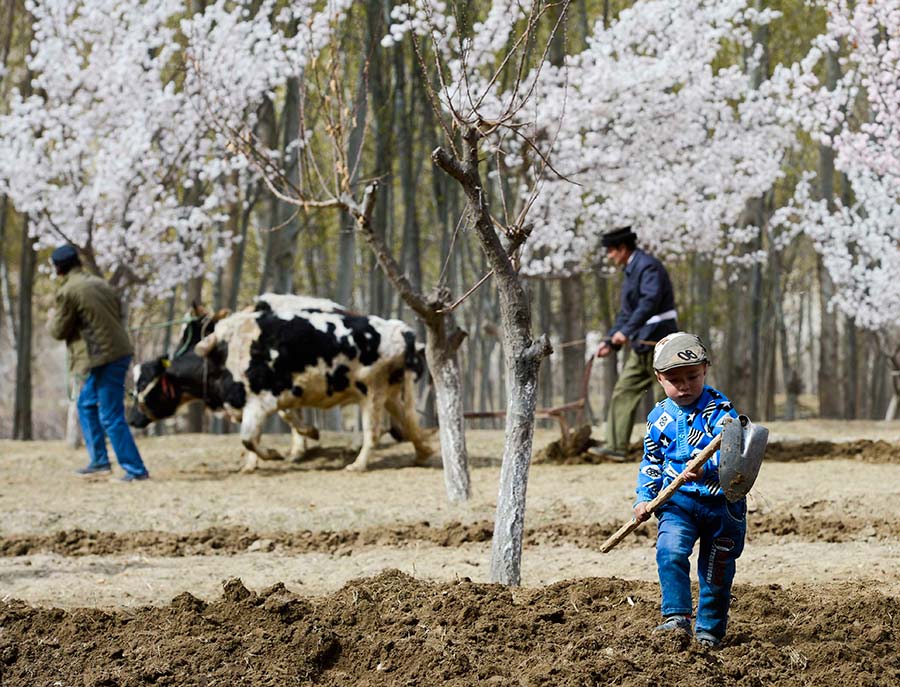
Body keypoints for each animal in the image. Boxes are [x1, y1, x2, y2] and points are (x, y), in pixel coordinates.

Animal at [128, 296, 434, 472]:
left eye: (144, 384)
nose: (131, 418)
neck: (222, 353)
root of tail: (403, 331)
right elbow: (266, 430)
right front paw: (254, 463)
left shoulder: (260, 402)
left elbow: (251, 437)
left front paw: (275, 454)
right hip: (389, 393)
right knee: (409, 423)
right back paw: (423, 453)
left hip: (372, 394)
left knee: (373, 432)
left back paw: (357, 465)